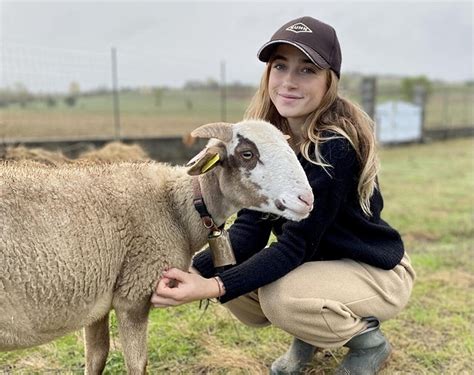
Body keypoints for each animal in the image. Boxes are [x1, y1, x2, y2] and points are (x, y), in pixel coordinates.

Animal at [0, 119, 314, 374]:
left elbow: (96, 358)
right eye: (247, 154)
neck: (177, 206)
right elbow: (137, 364)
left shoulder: (97, 297)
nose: (307, 199)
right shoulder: (134, 294)